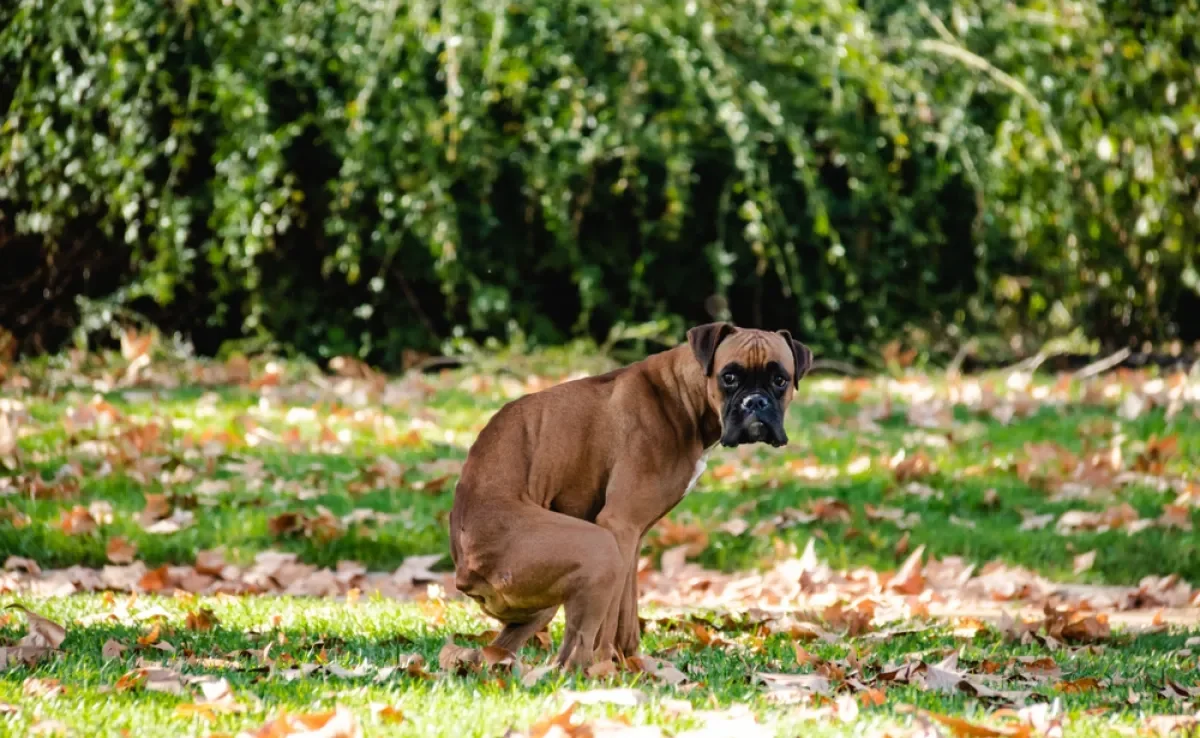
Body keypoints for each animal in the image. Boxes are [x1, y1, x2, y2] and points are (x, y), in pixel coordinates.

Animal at [451, 324, 816, 672]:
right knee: (570, 655)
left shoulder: (632, 537)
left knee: (497, 651)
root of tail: (464, 572)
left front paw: (633, 664)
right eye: (729, 377)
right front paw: (607, 666)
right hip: (598, 550)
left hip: (544, 602)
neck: (682, 395)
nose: (755, 402)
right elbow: (610, 620)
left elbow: (627, 613)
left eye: (780, 380)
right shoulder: (618, 526)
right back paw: (590, 673)